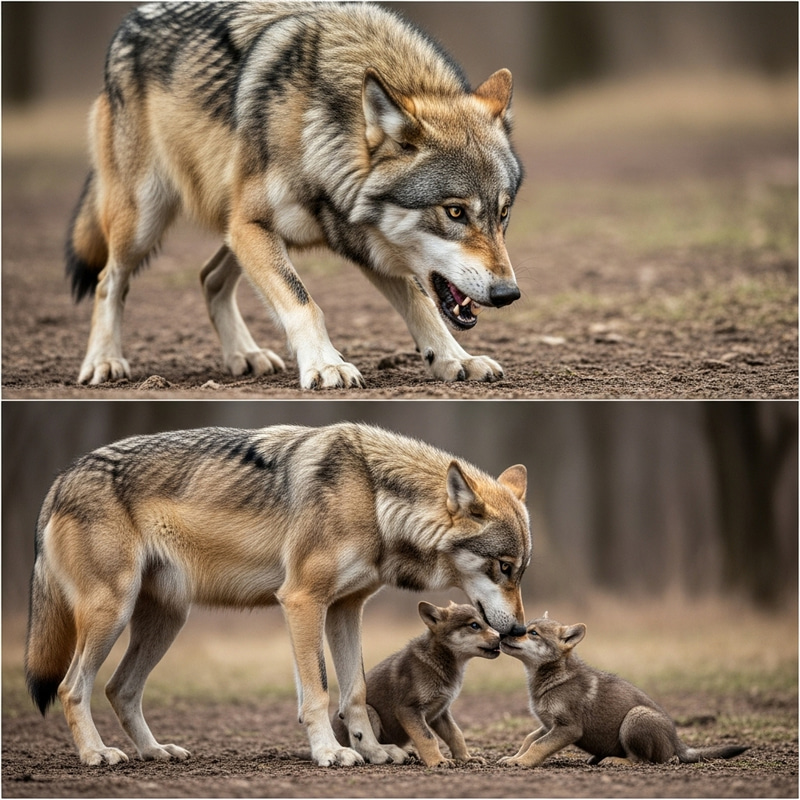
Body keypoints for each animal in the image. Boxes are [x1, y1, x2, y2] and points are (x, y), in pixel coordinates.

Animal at [67, 2, 523, 390]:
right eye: (455, 212)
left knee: (209, 277)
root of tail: (131, 19)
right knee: (110, 281)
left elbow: (422, 304)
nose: (508, 295)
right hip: (148, 220)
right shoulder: (252, 226)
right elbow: (304, 301)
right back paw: (104, 361)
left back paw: (245, 355)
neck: (320, 124)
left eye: (503, 214)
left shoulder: (357, 240)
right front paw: (326, 364)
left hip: (232, 230)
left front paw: (455, 358)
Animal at [332, 601, 500, 767]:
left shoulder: (441, 713)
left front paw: (466, 758)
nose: (501, 637)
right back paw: (395, 753)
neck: (436, 661)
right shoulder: (408, 709)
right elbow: (428, 738)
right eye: (474, 625)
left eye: (487, 622)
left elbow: (456, 735)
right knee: (363, 747)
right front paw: (438, 761)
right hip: (369, 711)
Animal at [499, 614, 749, 768]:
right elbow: (528, 740)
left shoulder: (568, 728)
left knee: (641, 760)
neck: (555, 677)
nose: (502, 634)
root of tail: (677, 742)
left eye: (533, 633)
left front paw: (522, 762)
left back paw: (614, 760)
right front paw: (513, 757)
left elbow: (538, 746)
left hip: (635, 717)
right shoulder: (547, 725)